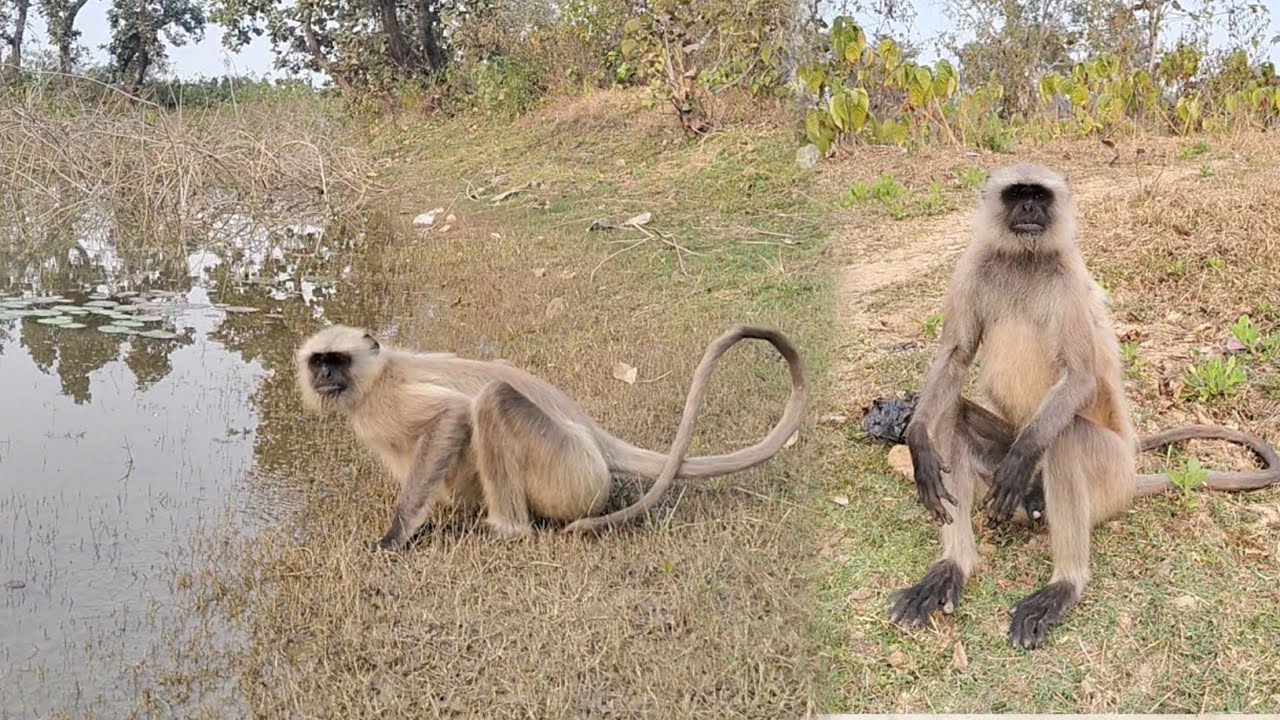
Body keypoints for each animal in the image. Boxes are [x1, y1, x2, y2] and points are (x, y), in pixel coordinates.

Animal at [295, 323, 806, 549]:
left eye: (336, 360)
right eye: (317, 361)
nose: (324, 375)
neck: (377, 373)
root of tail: (593, 437)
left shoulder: (384, 403)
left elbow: (452, 414)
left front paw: (396, 535)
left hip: (570, 474)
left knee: (490, 400)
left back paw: (505, 529)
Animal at [888, 162, 1280, 649]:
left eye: (1039, 195)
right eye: (1017, 195)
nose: (1030, 209)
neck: (1025, 260)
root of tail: (1130, 477)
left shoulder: (1069, 278)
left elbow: (1079, 377)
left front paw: (1022, 452)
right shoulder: (972, 266)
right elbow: (956, 356)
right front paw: (917, 442)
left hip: (1107, 473)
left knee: (1065, 437)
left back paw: (1065, 584)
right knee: (955, 416)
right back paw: (953, 567)